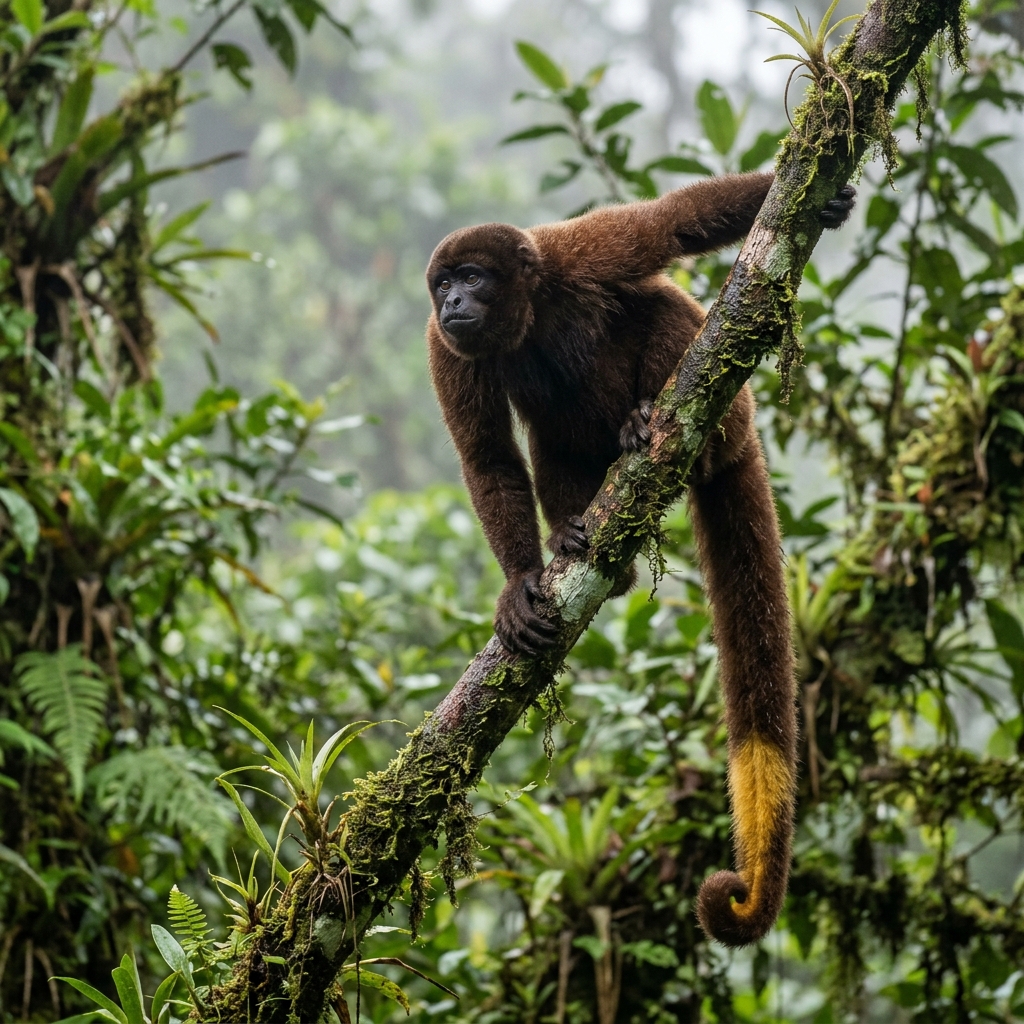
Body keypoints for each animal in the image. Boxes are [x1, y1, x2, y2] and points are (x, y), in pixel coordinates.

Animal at [424, 171, 855, 946]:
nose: (452, 303)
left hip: (732, 412)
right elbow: (489, 460)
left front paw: (818, 197)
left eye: (472, 277)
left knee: (664, 312)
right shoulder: (444, 347)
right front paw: (520, 582)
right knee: (551, 440)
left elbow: (669, 224)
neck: (527, 315)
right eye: (443, 284)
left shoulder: (579, 254)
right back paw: (588, 546)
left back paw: (654, 426)